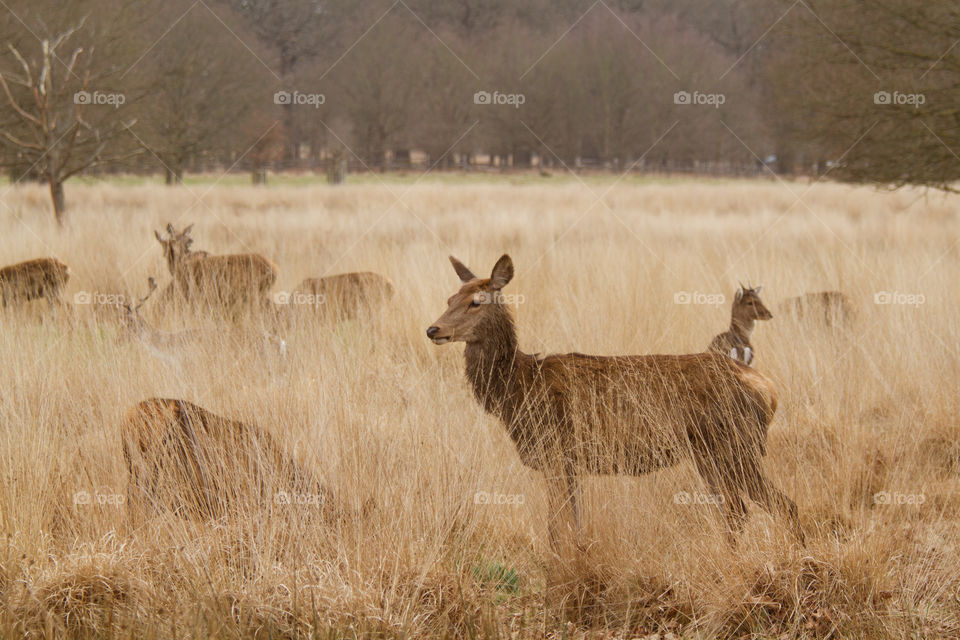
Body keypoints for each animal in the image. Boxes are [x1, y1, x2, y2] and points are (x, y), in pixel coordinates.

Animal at [428, 254, 804, 552]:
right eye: (449, 297)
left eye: (476, 301)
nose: (433, 329)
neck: (517, 391)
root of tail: (770, 391)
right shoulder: (571, 463)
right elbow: (572, 527)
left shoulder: (556, 454)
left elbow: (556, 532)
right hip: (712, 454)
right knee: (737, 512)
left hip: (735, 446)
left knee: (781, 505)